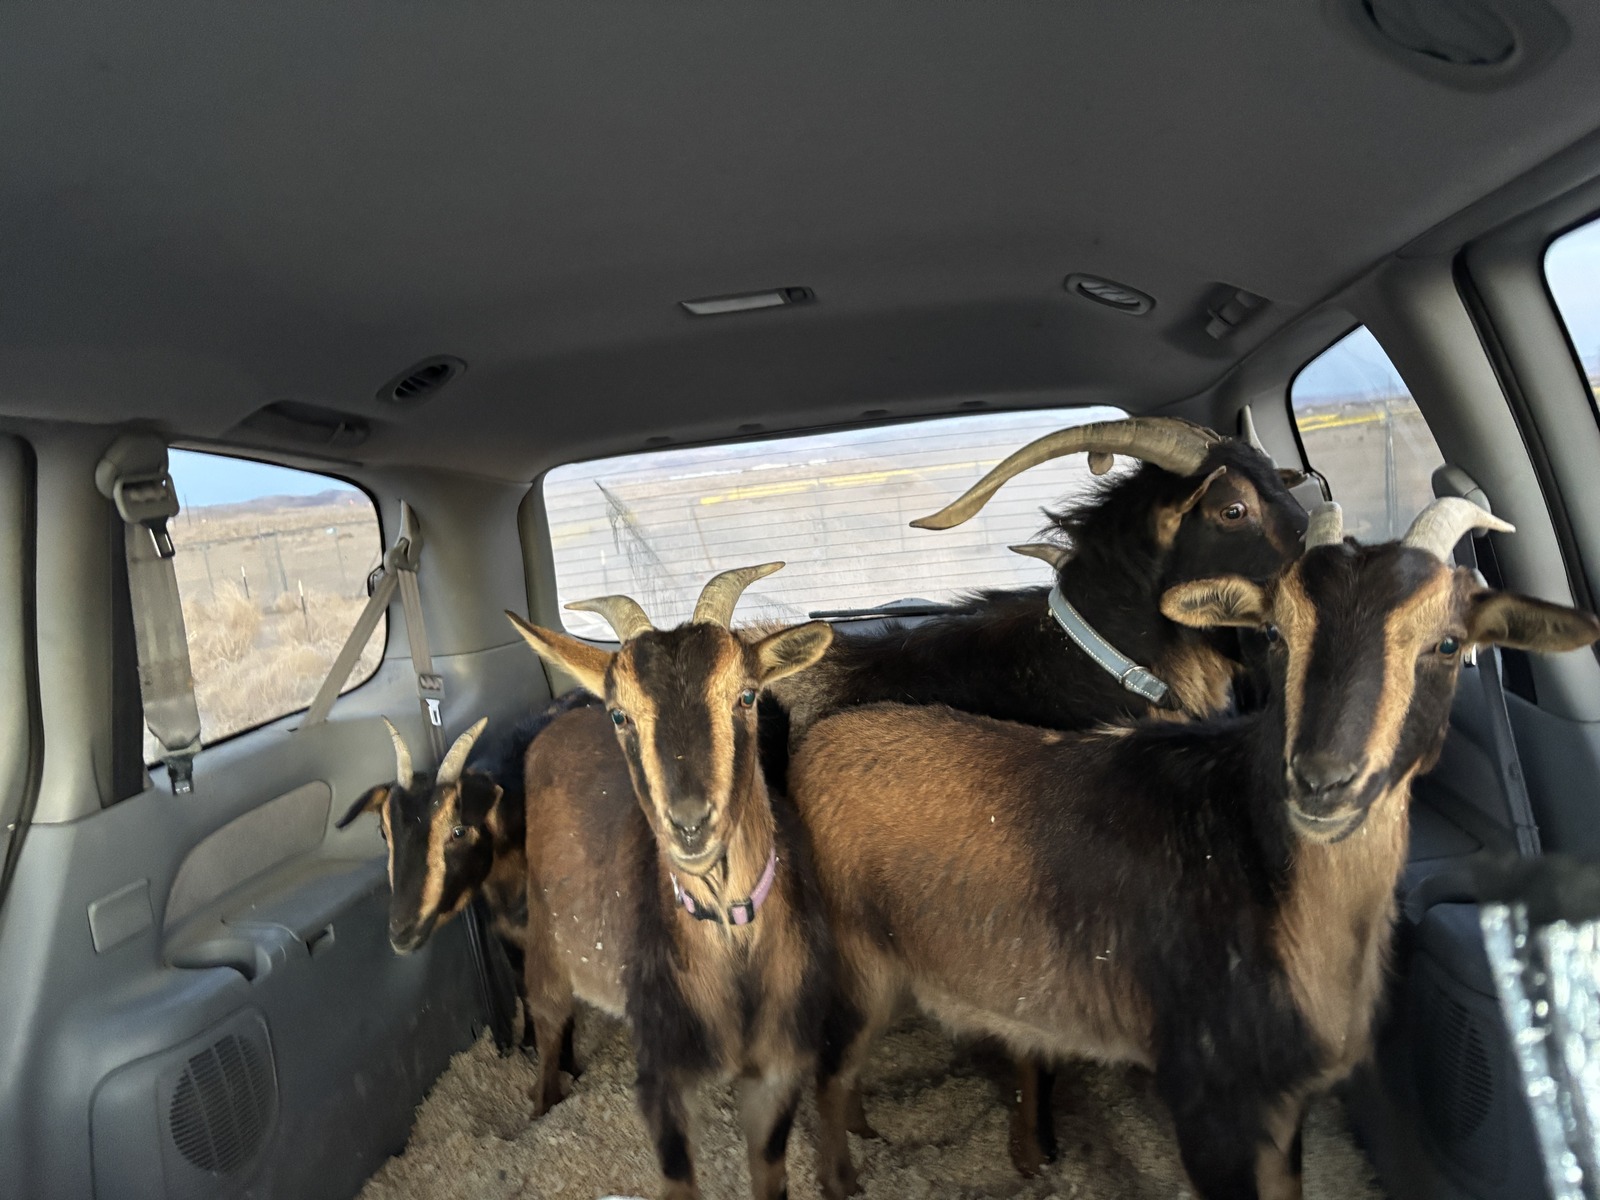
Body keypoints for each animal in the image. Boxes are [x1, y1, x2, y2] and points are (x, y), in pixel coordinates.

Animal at [335, 690, 600, 1066]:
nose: (401, 932)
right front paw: (529, 1043)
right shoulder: (504, 932)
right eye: (384, 832)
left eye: (459, 831)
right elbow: (522, 984)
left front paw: (566, 1065)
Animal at [505, 563, 836, 1200]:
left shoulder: (778, 1071)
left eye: (747, 695)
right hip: (545, 949)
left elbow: (770, 1174)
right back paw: (541, 1105)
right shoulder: (662, 1076)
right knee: (549, 1024)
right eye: (621, 714)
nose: (689, 823)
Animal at [789, 499, 1600, 1200]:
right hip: (847, 963)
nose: (1322, 782)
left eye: (1449, 643)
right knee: (825, 1076)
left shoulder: (1282, 1100)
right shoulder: (1207, 1094)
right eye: (1275, 633)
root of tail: (816, 745)